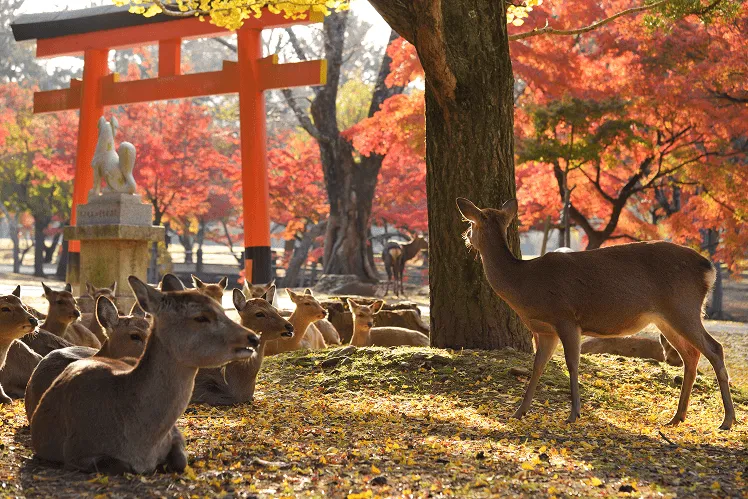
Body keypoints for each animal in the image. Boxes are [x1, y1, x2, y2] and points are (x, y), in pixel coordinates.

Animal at [456, 197, 735, 430]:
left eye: (471, 223)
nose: (465, 236)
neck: (524, 285)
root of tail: (709, 269)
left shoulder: (566, 317)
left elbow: (572, 363)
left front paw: (574, 414)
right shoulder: (544, 330)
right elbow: (537, 366)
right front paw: (519, 411)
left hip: (683, 307)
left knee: (715, 348)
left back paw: (727, 420)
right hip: (666, 318)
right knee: (691, 355)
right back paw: (677, 417)